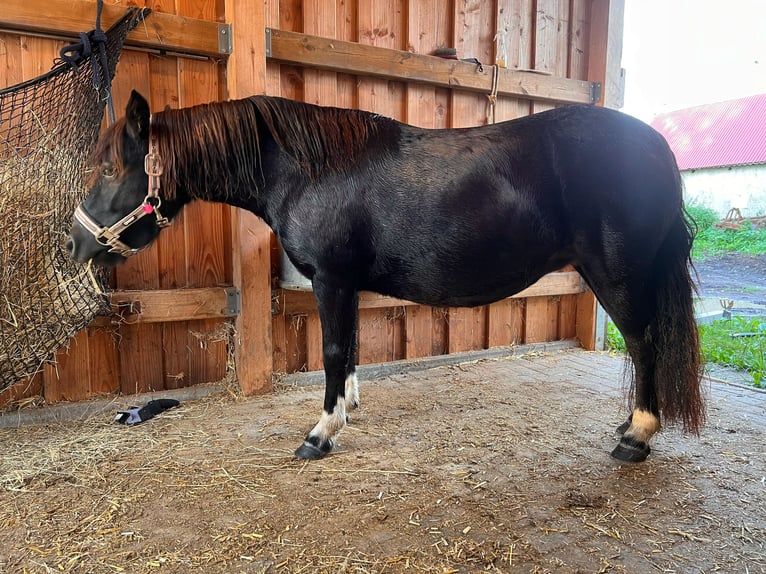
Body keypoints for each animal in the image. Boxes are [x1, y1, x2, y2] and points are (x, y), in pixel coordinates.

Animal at [69, 92, 704, 466]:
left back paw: (636, 437)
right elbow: (349, 349)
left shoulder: (331, 279)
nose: (75, 243)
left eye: (110, 168)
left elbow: (331, 351)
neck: (309, 170)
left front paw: (320, 433)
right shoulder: (345, 284)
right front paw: (346, 410)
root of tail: (656, 147)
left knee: (644, 344)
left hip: (616, 276)